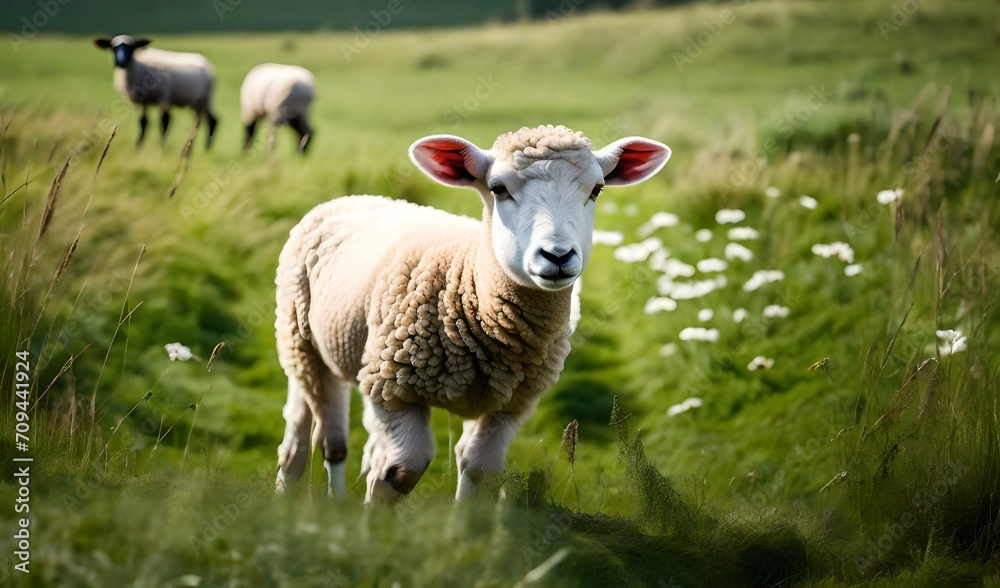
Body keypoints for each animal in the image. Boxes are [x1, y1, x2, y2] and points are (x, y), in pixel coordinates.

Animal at [273, 125, 670, 502]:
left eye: (597, 190)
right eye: (498, 188)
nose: (557, 256)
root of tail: (352, 198)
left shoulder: (511, 405)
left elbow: (479, 470)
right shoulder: (389, 385)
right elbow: (402, 471)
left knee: (305, 423)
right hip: (302, 339)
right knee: (327, 437)